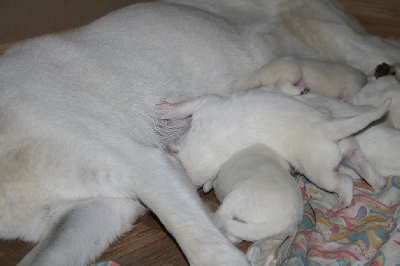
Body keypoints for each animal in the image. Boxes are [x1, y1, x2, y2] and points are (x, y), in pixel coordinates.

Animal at [160, 88, 390, 211]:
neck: (209, 142)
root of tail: (327, 127)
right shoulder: (207, 105)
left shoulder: (208, 104)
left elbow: (188, 105)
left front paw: (168, 109)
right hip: (350, 149)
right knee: (364, 166)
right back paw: (379, 186)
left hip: (318, 169)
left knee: (343, 181)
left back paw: (342, 201)